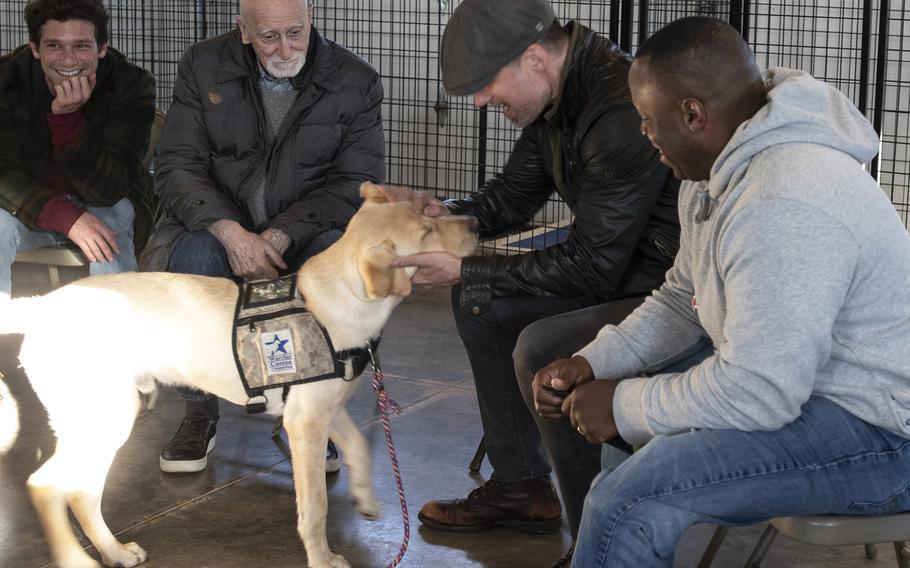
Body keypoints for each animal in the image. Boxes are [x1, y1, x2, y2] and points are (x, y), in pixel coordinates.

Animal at [0, 183, 480, 568]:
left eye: (433, 213)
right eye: (426, 232)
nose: (475, 221)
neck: (337, 300)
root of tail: (41, 305)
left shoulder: (323, 410)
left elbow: (360, 447)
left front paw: (365, 498)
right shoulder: (304, 424)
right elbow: (316, 506)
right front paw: (322, 558)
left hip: (104, 420)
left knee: (80, 491)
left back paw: (114, 552)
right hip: (103, 418)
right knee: (47, 485)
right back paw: (76, 558)